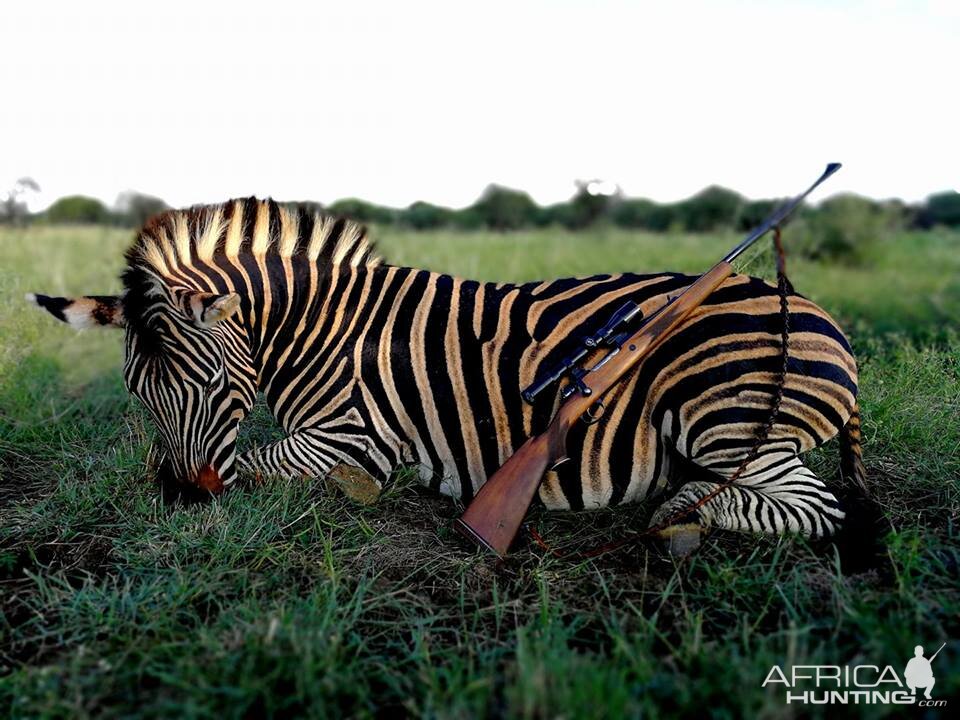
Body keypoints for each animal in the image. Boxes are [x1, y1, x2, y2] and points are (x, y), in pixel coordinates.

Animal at [26, 195, 868, 540]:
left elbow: (254, 463)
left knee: (815, 509)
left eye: (209, 385)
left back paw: (679, 513)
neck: (317, 327)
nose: (181, 498)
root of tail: (811, 308)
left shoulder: (347, 436)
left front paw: (358, 491)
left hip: (720, 415)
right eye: (137, 393)